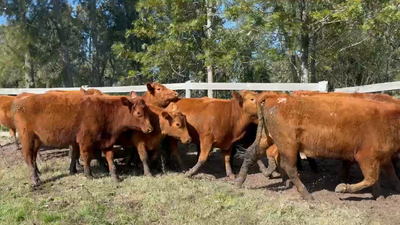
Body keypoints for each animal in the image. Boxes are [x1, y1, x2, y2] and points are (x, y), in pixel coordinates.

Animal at [12, 92, 153, 186]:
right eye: (139, 113)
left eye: (147, 110)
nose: (150, 129)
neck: (104, 111)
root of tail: (21, 101)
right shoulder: (85, 140)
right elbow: (86, 157)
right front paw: (88, 174)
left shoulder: (107, 142)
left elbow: (110, 158)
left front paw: (115, 176)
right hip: (27, 138)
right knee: (28, 157)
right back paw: (35, 181)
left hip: (36, 140)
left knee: (33, 157)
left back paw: (38, 174)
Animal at [236, 94, 400, 200]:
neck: (388, 119)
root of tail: (275, 98)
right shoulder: (365, 155)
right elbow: (372, 177)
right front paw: (342, 188)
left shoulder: (381, 157)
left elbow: (388, 174)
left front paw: (380, 195)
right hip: (288, 144)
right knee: (289, 167)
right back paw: (307, 195)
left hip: (267, 137)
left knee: (251, 153)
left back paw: (238, 182)